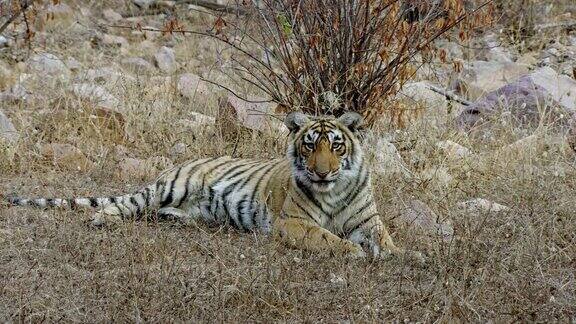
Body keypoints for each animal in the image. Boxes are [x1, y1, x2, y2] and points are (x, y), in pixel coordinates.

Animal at [2, 111, 426, 264]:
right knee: (129, 202)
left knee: (162, 212)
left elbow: (386, 241)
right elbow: (328, 238)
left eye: (335, 145)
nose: (322, 173)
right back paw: (103, 219)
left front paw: (410, 255)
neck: (334, 190)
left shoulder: (369, 221)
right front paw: (352, 252)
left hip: (190, 204)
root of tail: (182, 163)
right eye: (309, 145)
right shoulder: (293, 223)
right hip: (169, 187)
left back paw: (182, 222)